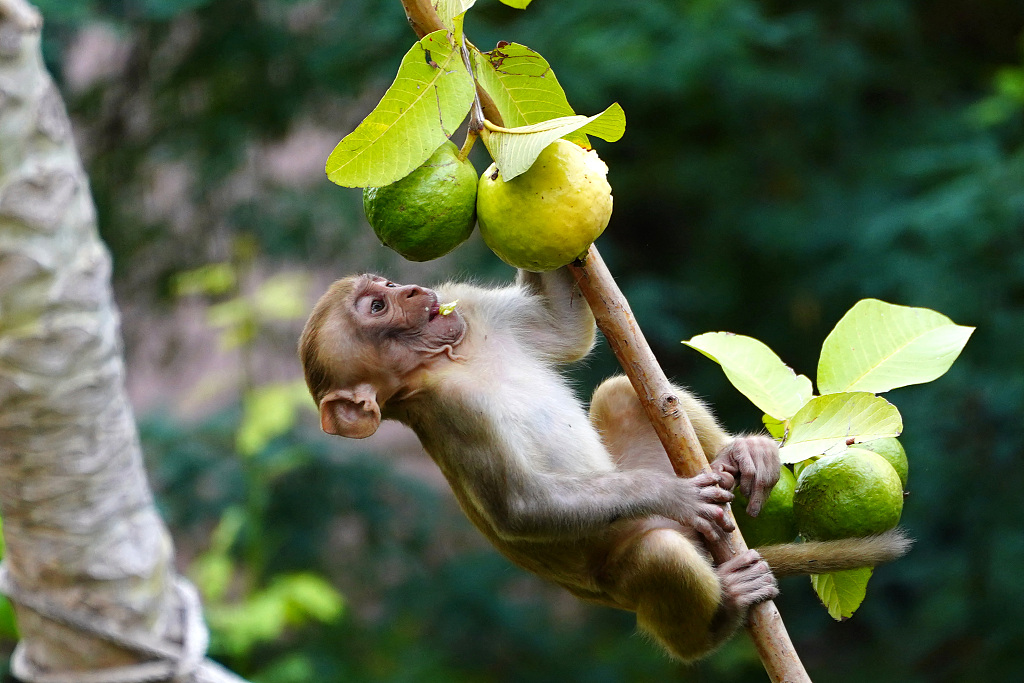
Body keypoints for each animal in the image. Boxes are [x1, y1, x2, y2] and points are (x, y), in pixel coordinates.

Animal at [299, 266, 913, 663]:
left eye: (381, 288)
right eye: (378, 308)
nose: (408, 288)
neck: (452, 359)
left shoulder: (466, 307)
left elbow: (563, 329)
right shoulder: (453, 414)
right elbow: (522, 507)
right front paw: (674, 496)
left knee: (627, 393)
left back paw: (738, 459)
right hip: (633, 575)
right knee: (659, 555)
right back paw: (715, 621)